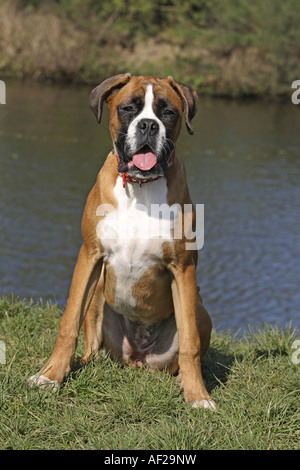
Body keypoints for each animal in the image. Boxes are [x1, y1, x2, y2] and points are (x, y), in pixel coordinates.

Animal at [28, 72, 216, 408]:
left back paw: (184, 380)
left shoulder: (182, 267)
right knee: (91, 346)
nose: (149, 125)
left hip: (201, 310)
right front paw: (51, 376)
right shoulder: (90, 255)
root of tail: (136, 358)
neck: (140, 187)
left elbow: (190, 342)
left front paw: (198, 395)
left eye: (168, 112)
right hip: (98, 295)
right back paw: (82, 363)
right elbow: (68, 323)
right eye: (129, 108)